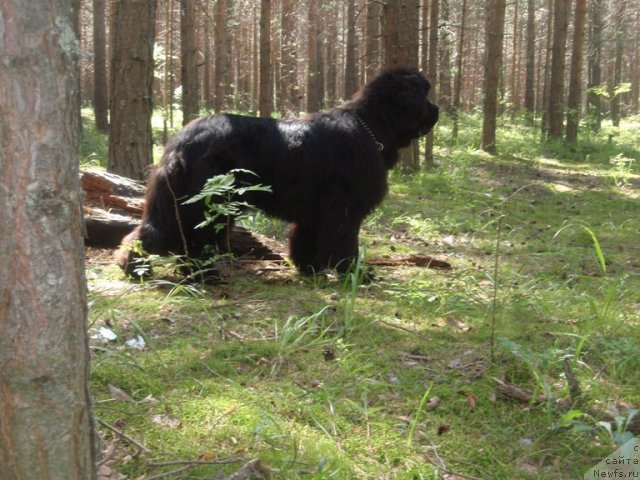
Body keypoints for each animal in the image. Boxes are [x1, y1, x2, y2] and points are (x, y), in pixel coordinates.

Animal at [117, 68, 440, 278]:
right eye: (424, 96)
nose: (437, 110)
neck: (371, 126)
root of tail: (180, 140)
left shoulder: (315, 212)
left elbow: (305, 240)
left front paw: (310, 270)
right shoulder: (345, 210)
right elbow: (344, 244)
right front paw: (354, 274)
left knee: (157, 232)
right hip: (208, 204)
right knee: (186, 238)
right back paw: (195, 275)